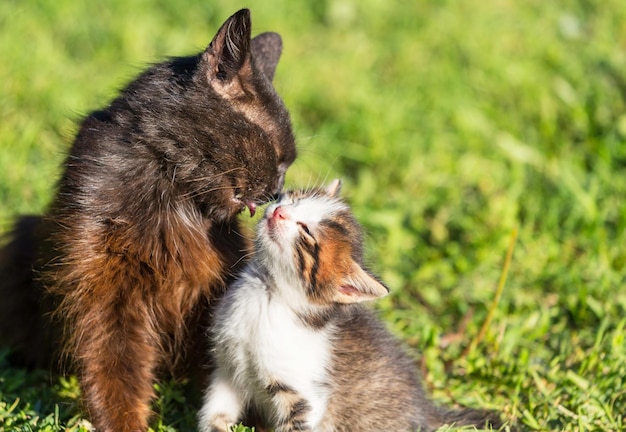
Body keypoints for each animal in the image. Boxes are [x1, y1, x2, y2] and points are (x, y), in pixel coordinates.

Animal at [0, 7, 294, 432]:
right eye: (277, 154)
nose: (277, 190)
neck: (174, 195)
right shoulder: (105, 289)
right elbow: (114, 368)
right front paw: (123, 423)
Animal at [197, 180, 500, 432]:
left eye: (307, 233)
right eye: (293, 198)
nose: (279, 211)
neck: (266, 292)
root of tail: (427, 410)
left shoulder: (306, 397)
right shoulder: (228, 370)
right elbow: (215, 415)